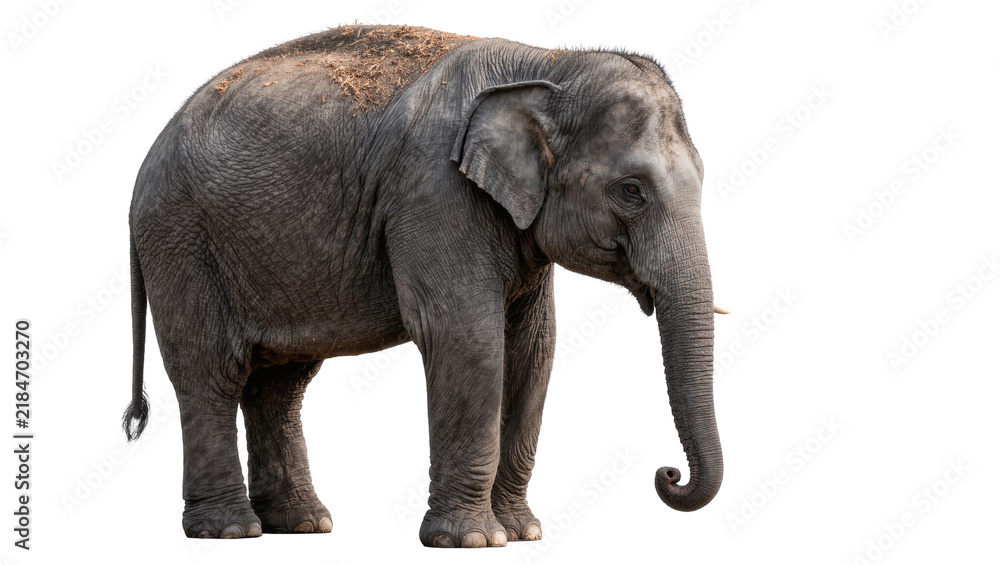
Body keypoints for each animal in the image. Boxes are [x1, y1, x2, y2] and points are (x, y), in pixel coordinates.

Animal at [122, 24, 725, 547]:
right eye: (631, 191)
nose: (668, 474)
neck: (549, 64)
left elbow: (533, 350)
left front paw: (522, 533)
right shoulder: (434, 191)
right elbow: (467, 337)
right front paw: (475, 540)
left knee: (280, 383)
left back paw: (303, 525)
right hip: (181, 242)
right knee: (211, 371)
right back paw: (229, 531)